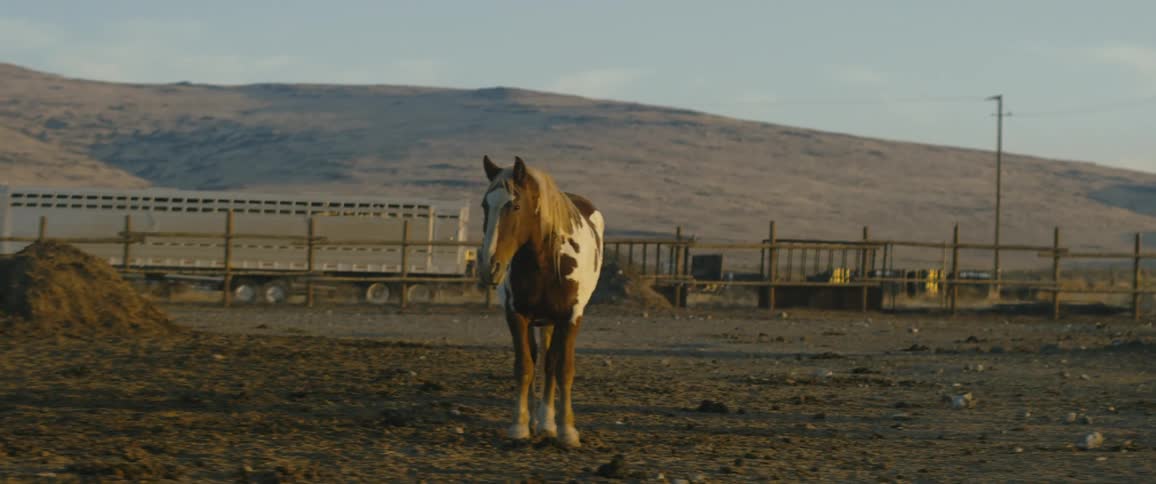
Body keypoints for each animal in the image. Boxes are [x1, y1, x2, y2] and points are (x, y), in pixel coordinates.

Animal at [479, 155, 604, 448]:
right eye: (485, 205)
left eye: (514, 205)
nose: (490, 267)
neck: (545, 262)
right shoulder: (516, 315)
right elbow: (524, 366)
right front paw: (519, 426)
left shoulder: (570, 317)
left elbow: (563, 369)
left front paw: (567, 431)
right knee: (538, 359)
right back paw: (538, 421)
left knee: (550, 363)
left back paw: (548, 423)